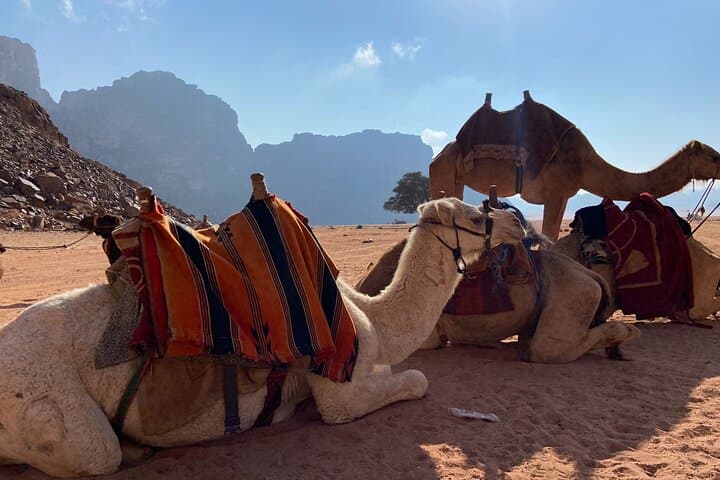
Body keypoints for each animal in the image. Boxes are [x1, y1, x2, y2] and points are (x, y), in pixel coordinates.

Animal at [0, 196, 525, 477]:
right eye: (474, 217)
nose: (517, 222)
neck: (374, 315)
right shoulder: (339, 385)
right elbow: (416, 380)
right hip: (48, 403)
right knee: (97, 452)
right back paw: (133, 447)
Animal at [429, 91, 720, 240]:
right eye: (713, 156)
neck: (584, 163)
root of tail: (440, 154)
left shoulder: (563, 194)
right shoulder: (556, 190)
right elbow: (548, 238)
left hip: (455, 177)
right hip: (442, 171)